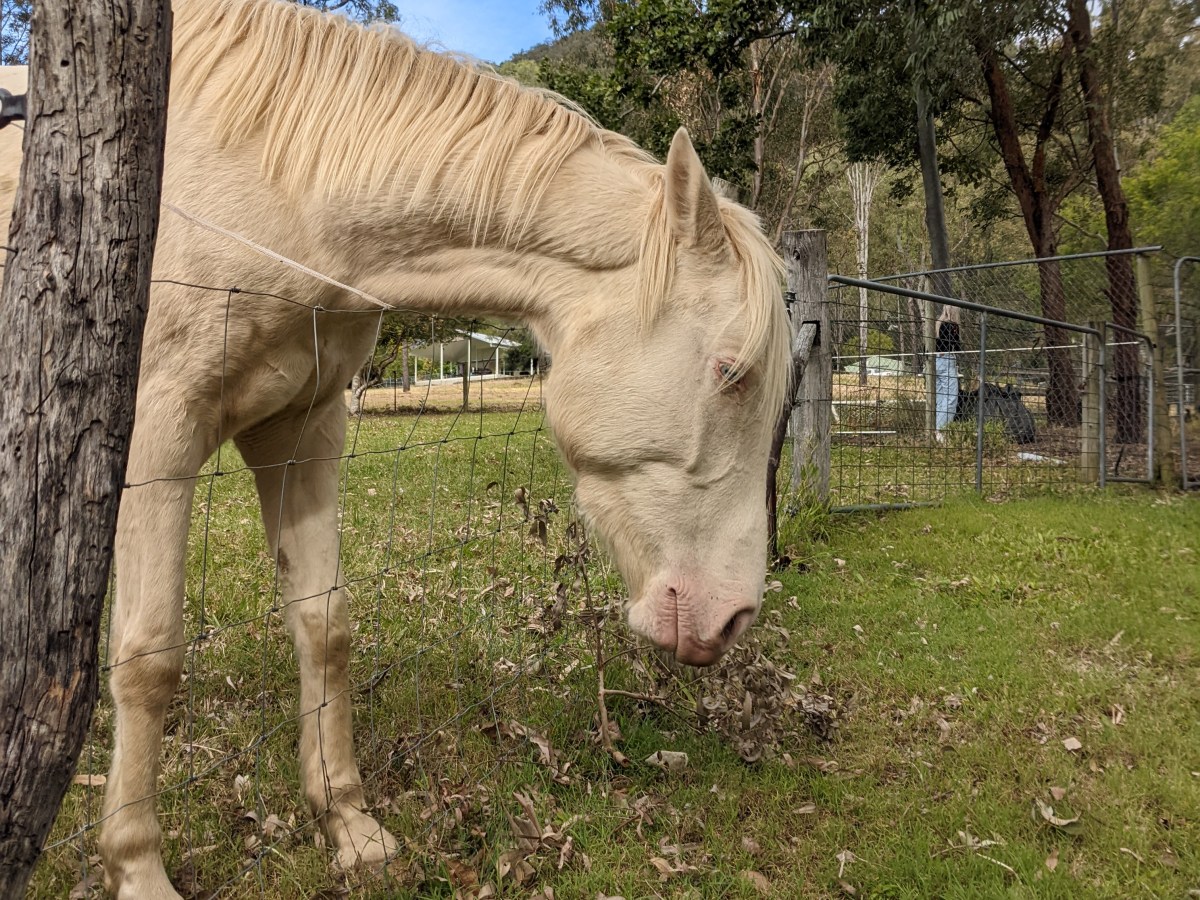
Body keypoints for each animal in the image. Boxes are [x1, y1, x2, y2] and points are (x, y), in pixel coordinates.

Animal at [0, 1, 790, 896]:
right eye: (730, 371)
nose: (733, 619)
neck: (283, 187)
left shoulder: (301, 430)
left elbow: (324, 626)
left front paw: (347, 823)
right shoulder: (158, 435)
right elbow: (148, 658)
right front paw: (137, 869)